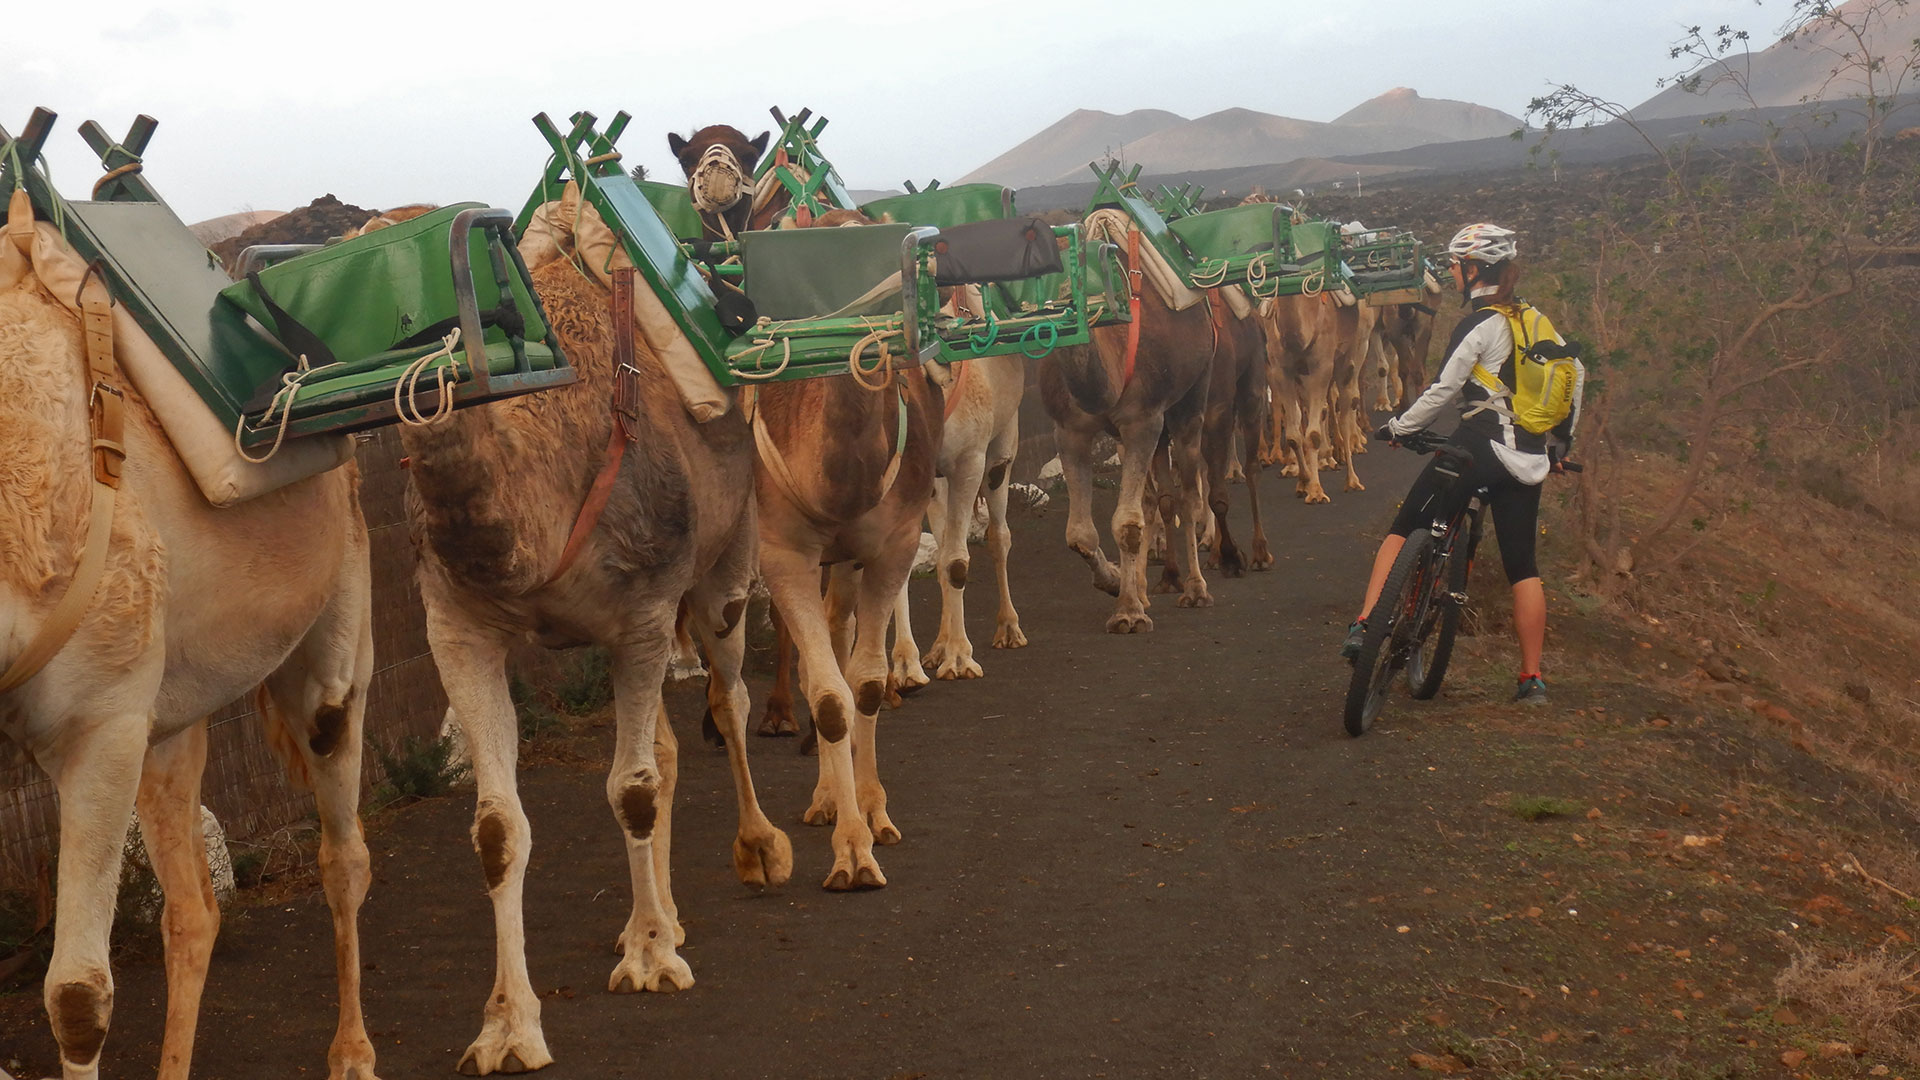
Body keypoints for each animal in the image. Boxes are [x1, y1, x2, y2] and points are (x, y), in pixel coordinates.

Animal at [0, 191, 378, 1068]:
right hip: (171, 719)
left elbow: (78, 996)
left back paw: (354, 1053)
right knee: (195, 911)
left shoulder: (97, 725)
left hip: (335, 619)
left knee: (342, 844)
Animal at [405, 219, 794, 1068]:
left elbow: (633, 788)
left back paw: (760, 851)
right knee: (673, 743)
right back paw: (668, 912)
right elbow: (496, 827)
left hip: (723, 567)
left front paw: (650, 961)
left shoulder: (644, 611)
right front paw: (507, 1026)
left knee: (730, 697)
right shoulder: (458, 629)